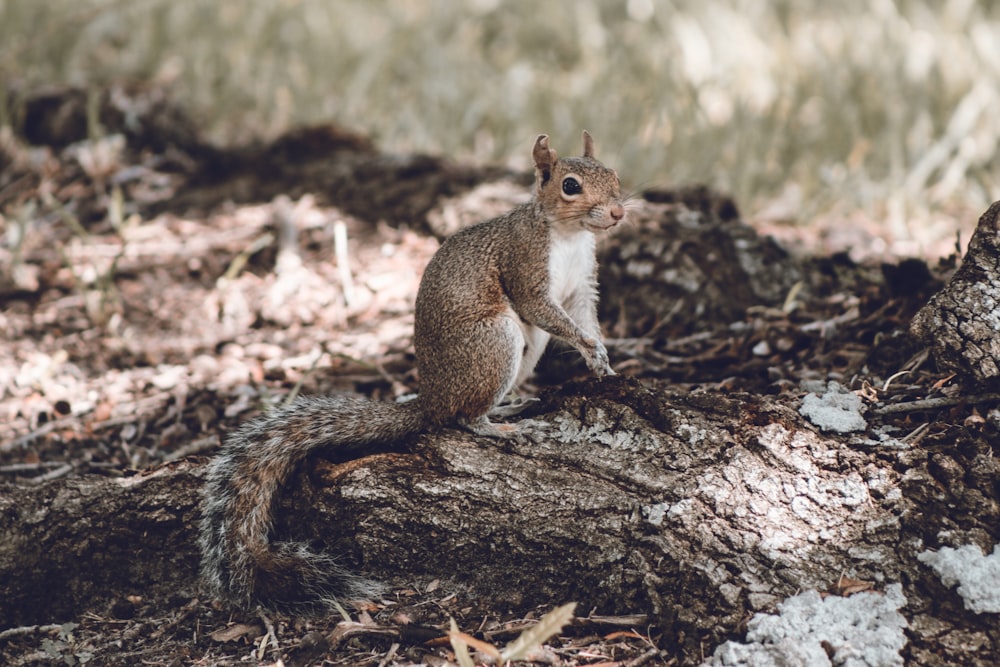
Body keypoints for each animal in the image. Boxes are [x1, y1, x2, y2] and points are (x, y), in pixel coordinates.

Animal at [197, 132, 624, 616]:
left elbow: (585, 317)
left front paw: (603, 360)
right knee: (463, 417)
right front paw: (589, 348)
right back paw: (498, 428)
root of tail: (431, 399)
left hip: (524, 351)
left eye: (614, 174)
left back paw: (510, 408)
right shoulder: (526, 265)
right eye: (570, 186)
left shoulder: (582, 284)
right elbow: (546, 311)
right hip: (496, 340)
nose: (617, 213)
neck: (569, 236)